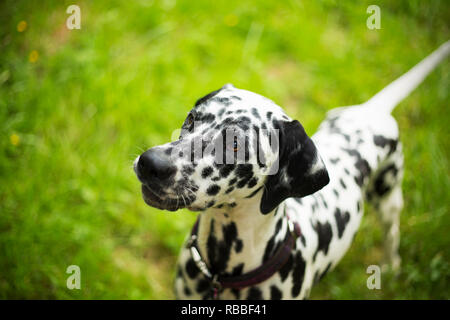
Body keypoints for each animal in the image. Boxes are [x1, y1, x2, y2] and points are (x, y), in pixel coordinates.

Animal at [134, 40, 450, 300]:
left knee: (391, 234)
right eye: (191, 118)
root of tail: (372, 110)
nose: (151, 163)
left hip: (388, 199)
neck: (223, 274)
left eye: (235, 144)